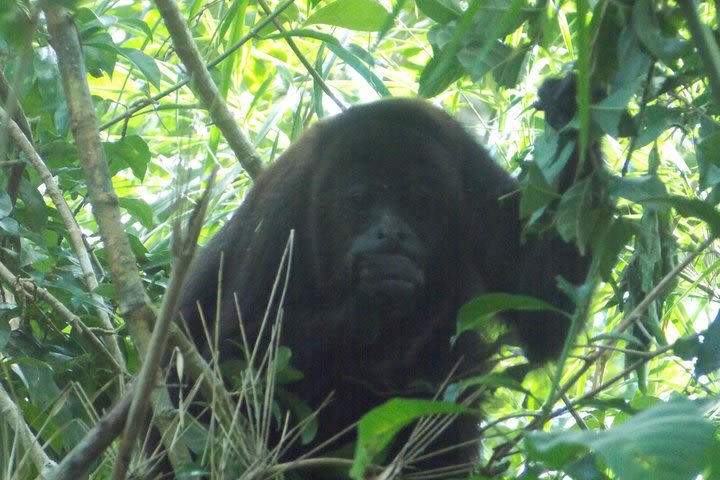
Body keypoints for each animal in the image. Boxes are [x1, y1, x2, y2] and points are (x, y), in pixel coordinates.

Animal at [173, 75, 596, 476]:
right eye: (362, 200)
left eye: (418, 202)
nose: (391, 233)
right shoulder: (283, 211)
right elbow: (232, 356)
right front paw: (373, 304)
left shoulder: (476, 179)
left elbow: (547, 315)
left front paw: (568, 112)